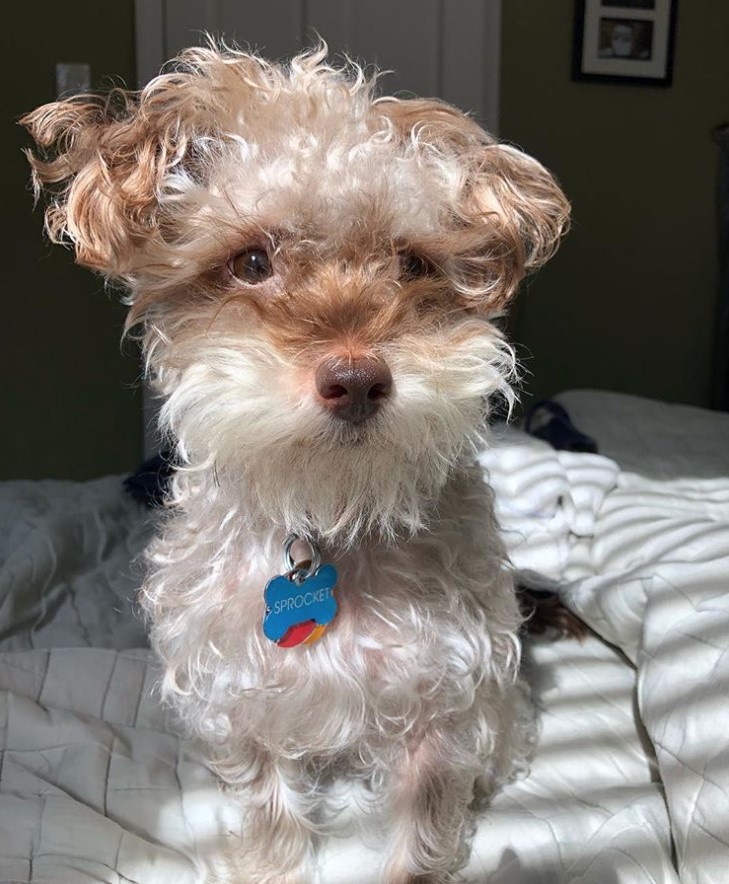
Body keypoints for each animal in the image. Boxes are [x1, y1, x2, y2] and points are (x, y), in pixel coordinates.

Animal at [21, 43, 568, 884]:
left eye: (412, 265)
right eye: (250, 261)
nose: (357, 380)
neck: (328, 511)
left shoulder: (444, 703)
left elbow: (421, 835)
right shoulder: (243, 697)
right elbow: (271, 810)